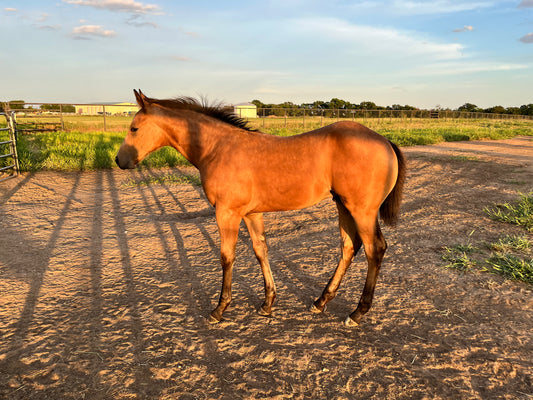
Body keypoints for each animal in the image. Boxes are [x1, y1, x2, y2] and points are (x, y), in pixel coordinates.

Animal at [115, 89, 404, 326]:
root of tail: (385, 141)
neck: (218, 148)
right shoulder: (252, 214)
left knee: (374, 249)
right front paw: (267, 303)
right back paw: (320, 301)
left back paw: (357, 313)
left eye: (134, 128)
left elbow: (227, 256)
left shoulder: (227, 213)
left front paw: (219, 309)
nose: (119, 160)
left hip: (362, 211)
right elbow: (260, 251)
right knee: (349, 247)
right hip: (342, 206)